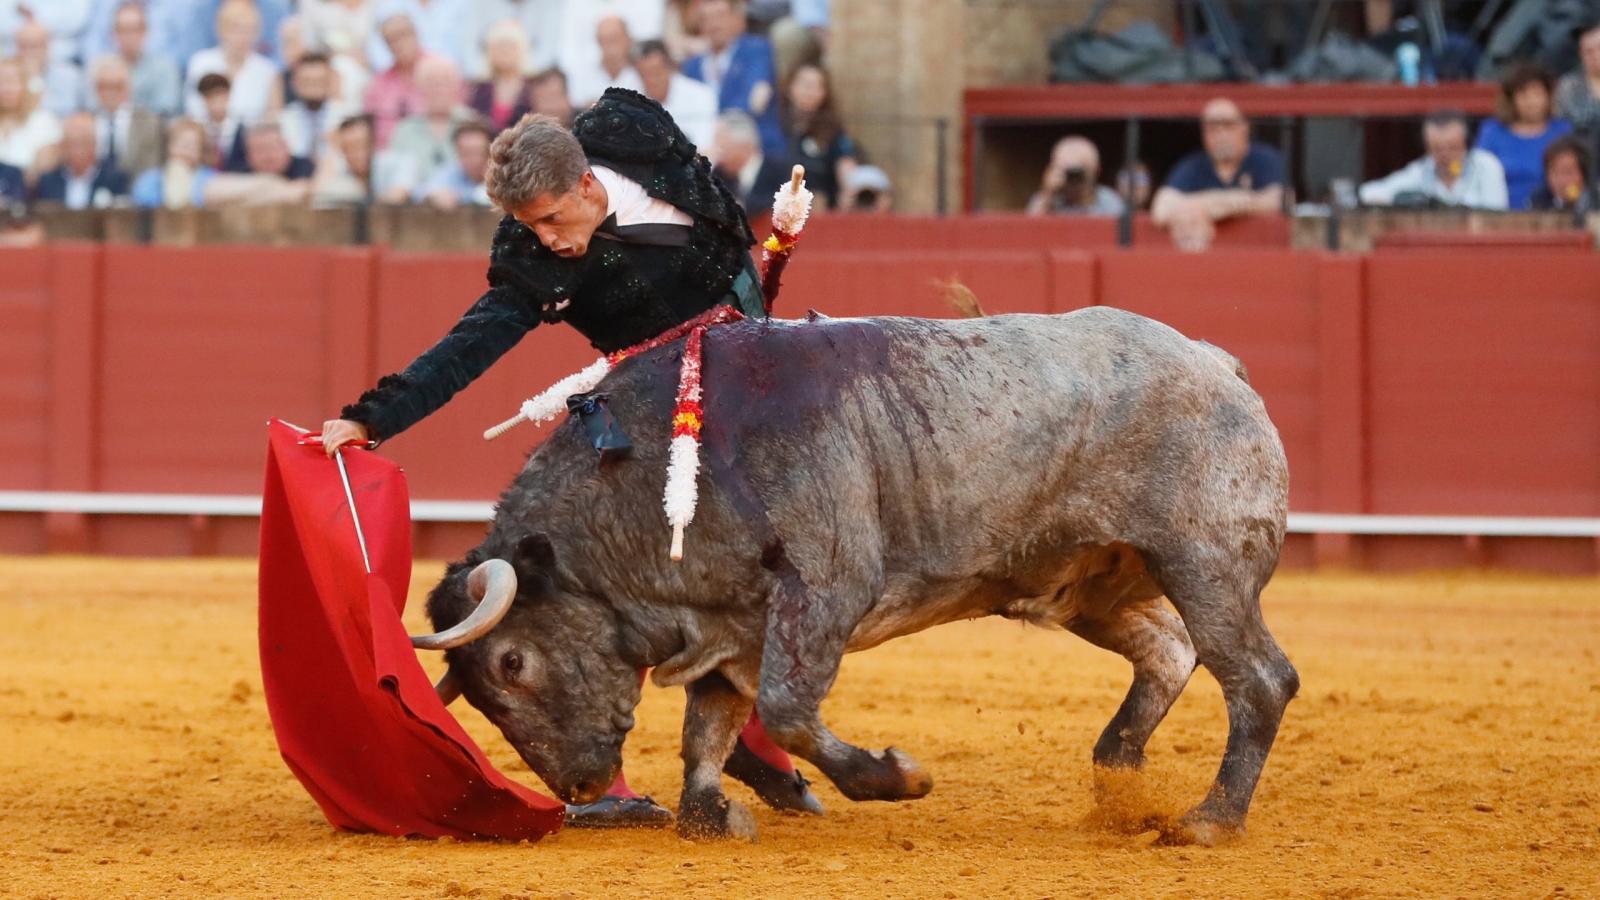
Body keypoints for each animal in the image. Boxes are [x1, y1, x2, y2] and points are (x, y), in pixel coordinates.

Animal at [406, 305, 1292, 839]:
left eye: (512, 663)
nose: (585, 789)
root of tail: (1216, 361)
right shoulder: (732, 623)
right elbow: (708, 723)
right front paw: (709, 812)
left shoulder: (824, 588)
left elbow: (787, 708)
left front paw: (894, 776)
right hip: (1091, 584)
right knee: (1171, 652)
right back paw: (1118, 779)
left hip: (1206, 563)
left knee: (1258, 679)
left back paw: (1209, 818)